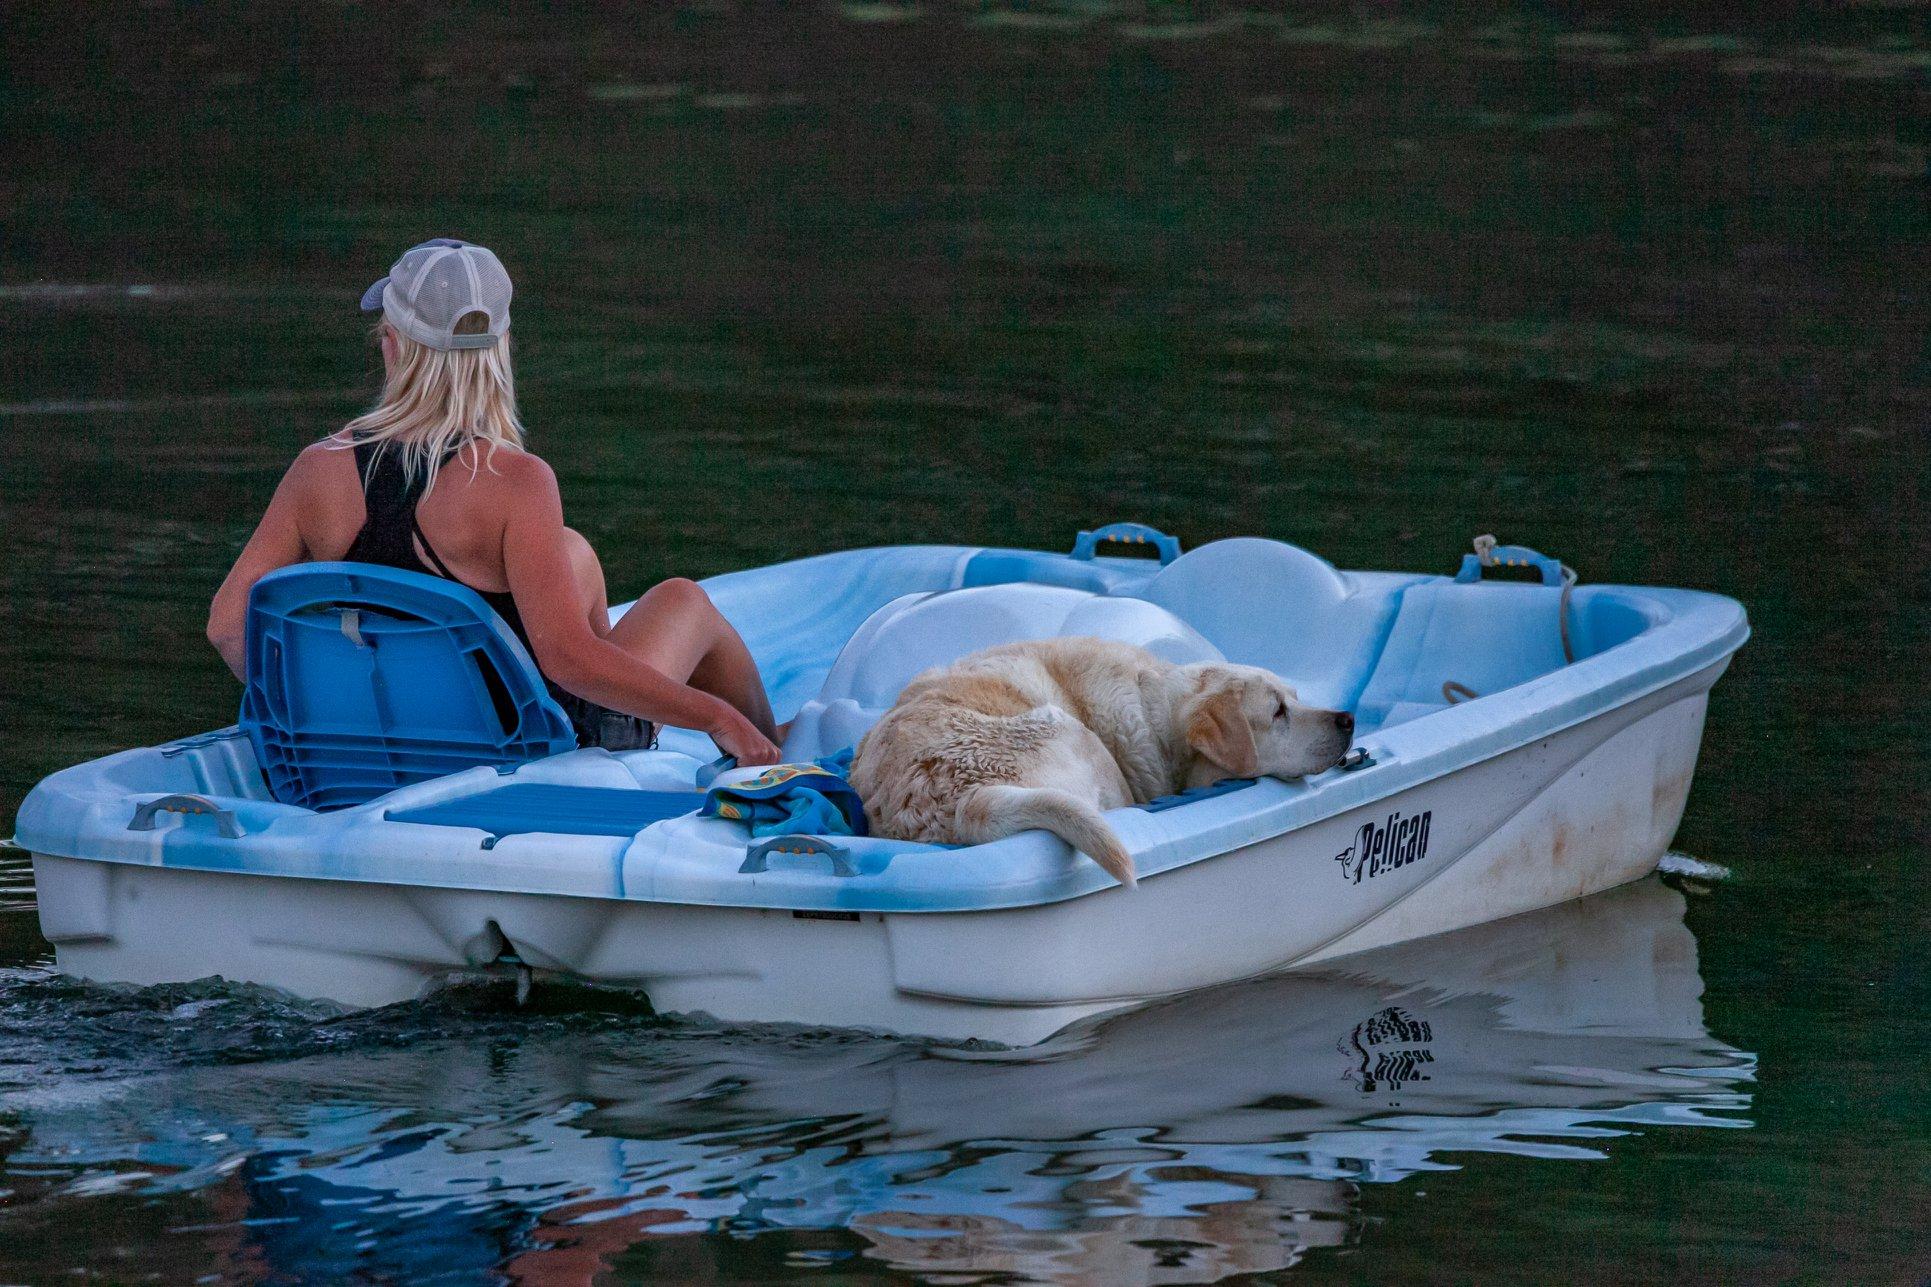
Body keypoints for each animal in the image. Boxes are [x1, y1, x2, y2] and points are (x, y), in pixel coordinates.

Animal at [853, 637, 1351, 888]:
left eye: (1296, 700)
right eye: (1278, 712)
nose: (1348, 720)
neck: (1155, 709)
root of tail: (966, 798)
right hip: (1071, 734)